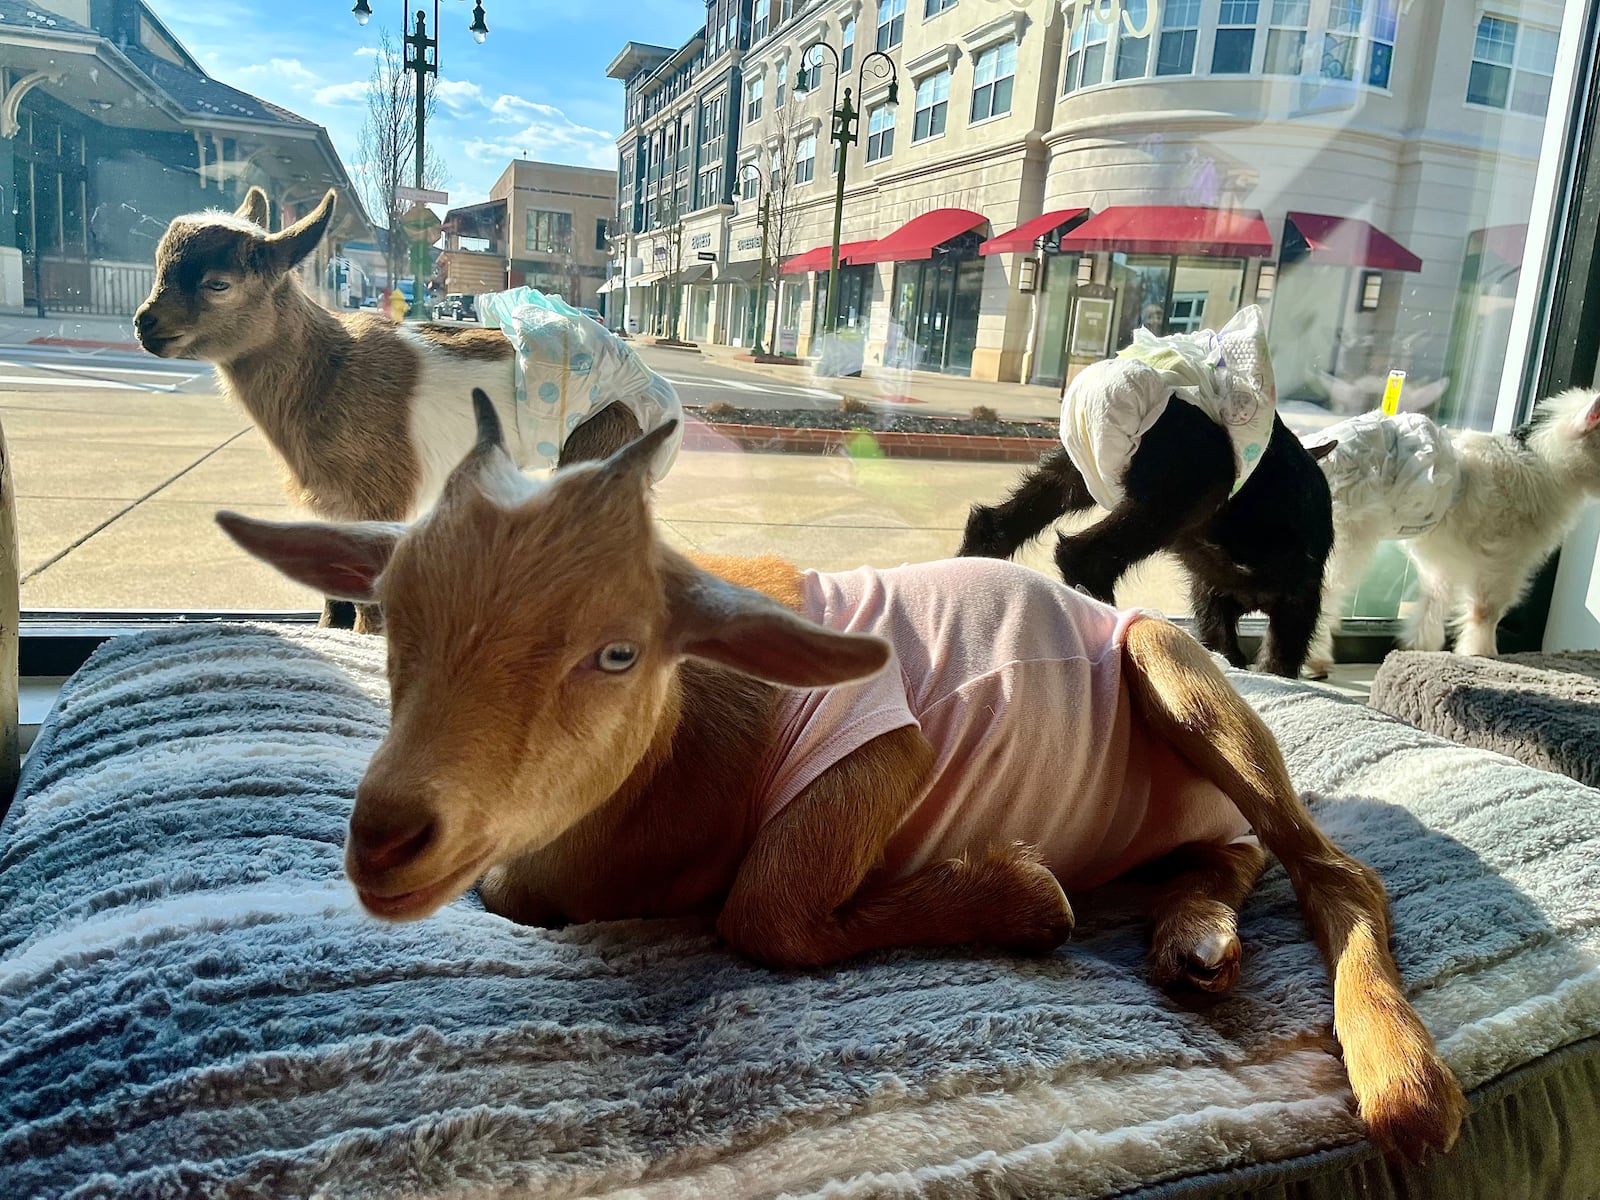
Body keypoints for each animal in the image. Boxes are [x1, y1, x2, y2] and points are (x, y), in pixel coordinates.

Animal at [960, 395, 1337, 678]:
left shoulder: (1216, 598)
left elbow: (1235, 649)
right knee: (1082, 554)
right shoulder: (1294, 602)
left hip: (1078, 473)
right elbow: (1277, 660)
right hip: (1190, 489)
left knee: (995, 522)